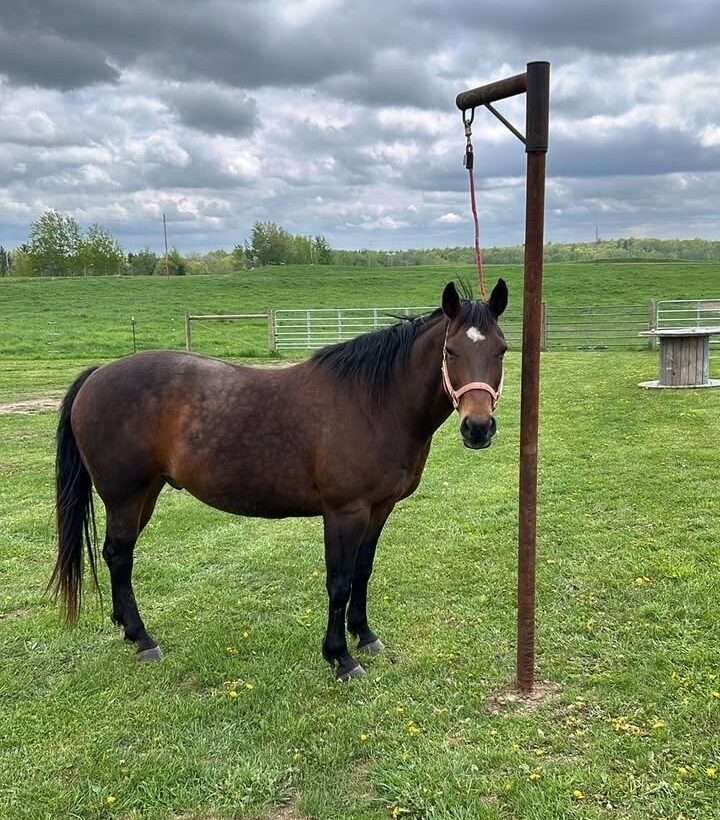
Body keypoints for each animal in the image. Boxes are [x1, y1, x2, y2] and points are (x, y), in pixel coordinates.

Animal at [49, 279, 508, 680]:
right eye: (451, 351)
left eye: (502, 350)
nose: (478, 428)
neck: (374, 404)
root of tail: (97, 375)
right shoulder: (344, 512)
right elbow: (339, 581)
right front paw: (340, 658)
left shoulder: (379, 509)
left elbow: (363, 571)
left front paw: (365, 636)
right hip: (125, 497)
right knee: (119, 555)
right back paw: (144, 639)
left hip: (145, 494)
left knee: (116, 556)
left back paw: (128, 630)